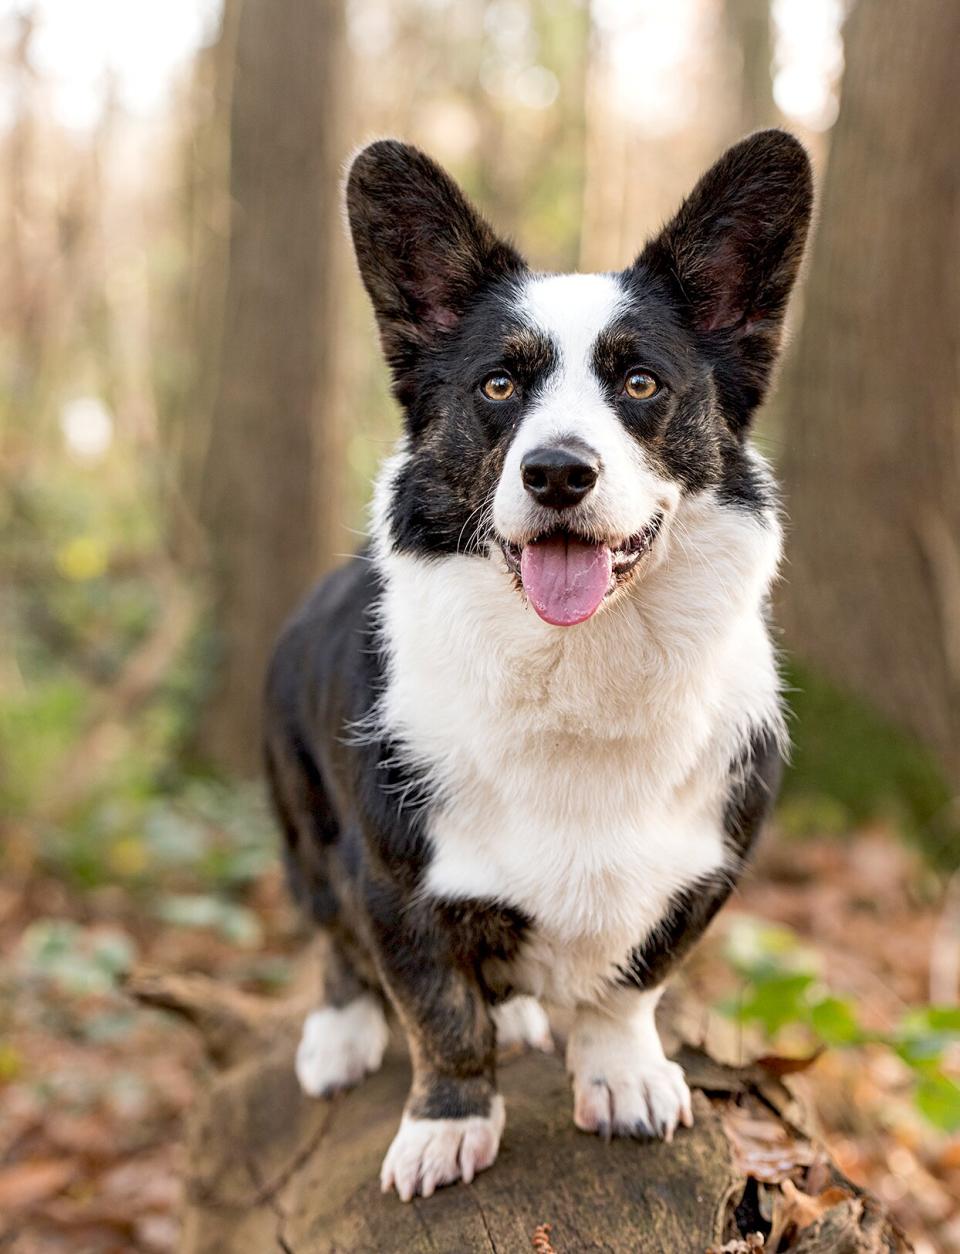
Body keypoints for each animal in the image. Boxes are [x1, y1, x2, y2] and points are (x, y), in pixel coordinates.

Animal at [266, 132, 817, 1198]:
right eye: (497, 386)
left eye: (640, 383)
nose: (558, 471)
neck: (576, 667)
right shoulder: (393, 883)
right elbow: (439, 1014)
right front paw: (445, 1128)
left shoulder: (702, 872)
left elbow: (630, 986)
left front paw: (624, 1078)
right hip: (303, 823)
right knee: (336, 945)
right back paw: (339, 1038)